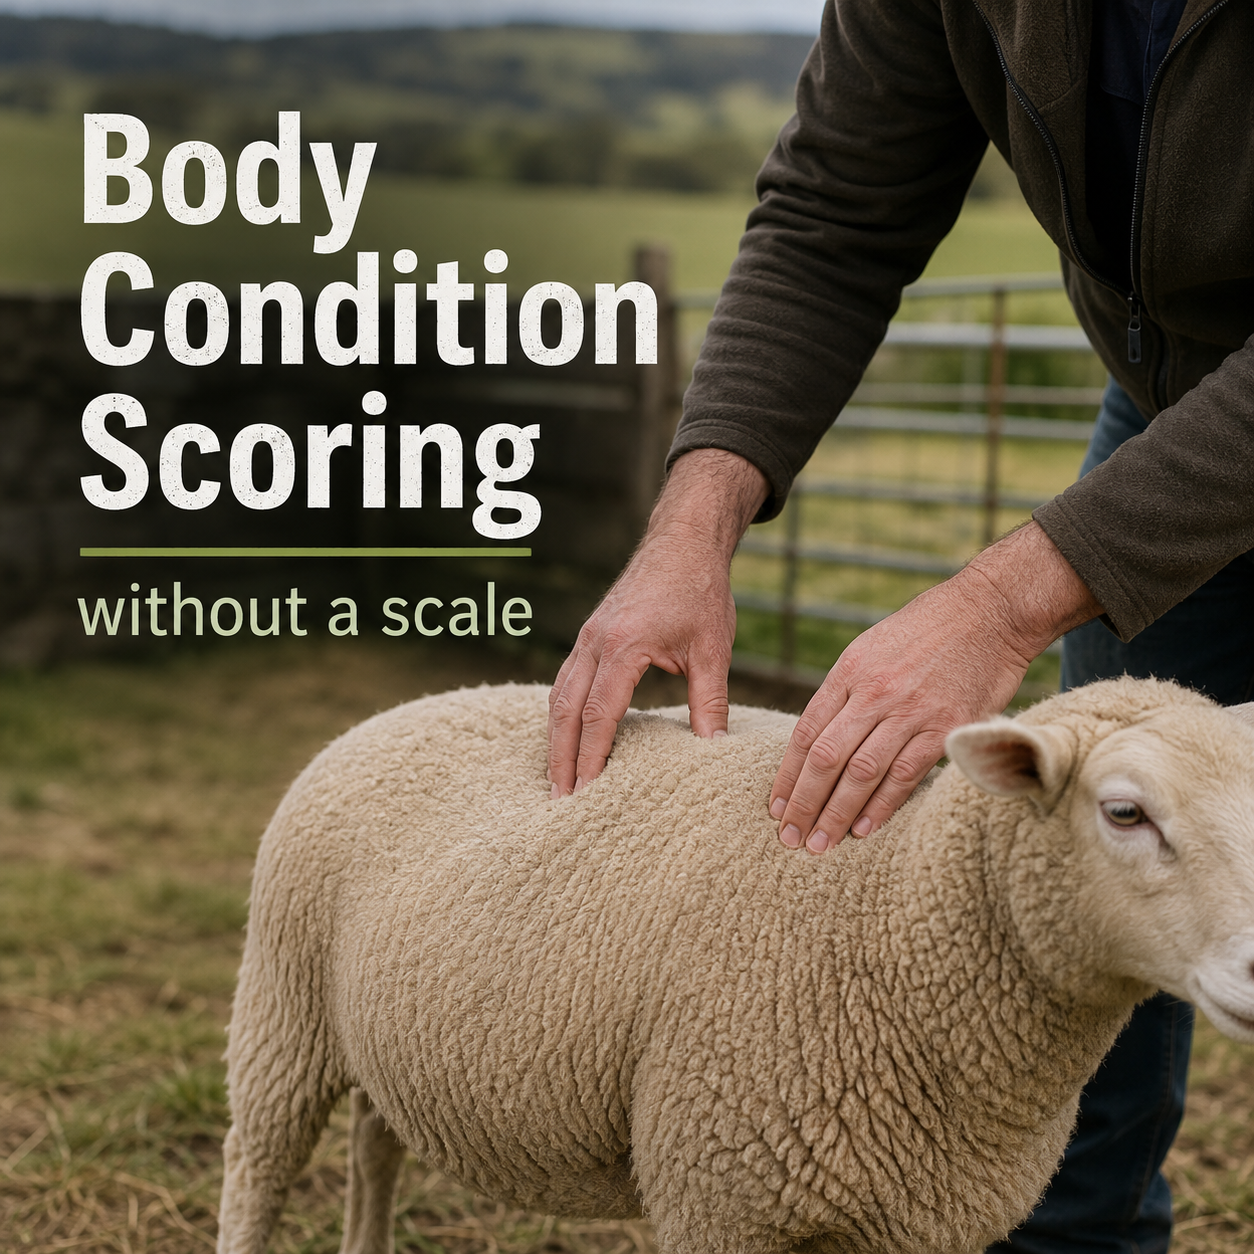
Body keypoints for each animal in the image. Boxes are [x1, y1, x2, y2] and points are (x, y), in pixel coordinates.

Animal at [217, 676, 1254, 1254]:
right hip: (282, 1006)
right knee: (258, 1166)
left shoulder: (912, 1223)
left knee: (375, 1145)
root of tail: (411, 707)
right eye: (1125, 812)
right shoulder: (721, 1195)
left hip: (384, 1033)